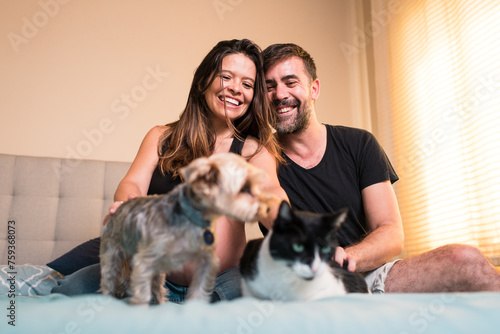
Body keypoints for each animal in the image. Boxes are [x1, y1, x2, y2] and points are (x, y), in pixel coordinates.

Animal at [99, 153, 276, 304]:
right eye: (244, 188)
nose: (269, 207)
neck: (190, 217)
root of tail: (119, 209)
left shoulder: (205, 262)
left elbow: (199, 292)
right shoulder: (145, 261)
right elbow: (142, 295)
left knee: (157, 287)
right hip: (113, 255)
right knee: (108, 280)